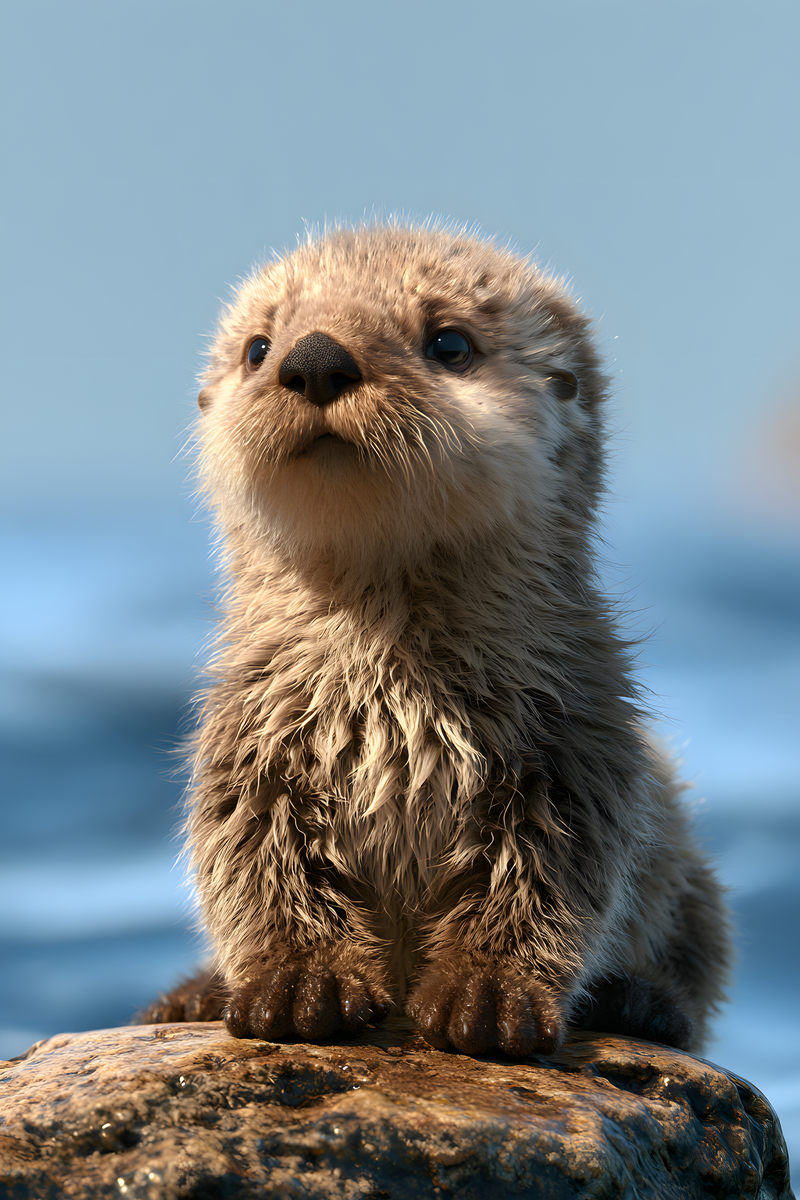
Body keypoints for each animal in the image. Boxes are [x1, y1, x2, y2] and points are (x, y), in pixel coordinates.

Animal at [140, 224, 731, 1058]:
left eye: (449, 342)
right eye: (259, 346)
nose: (313, 358)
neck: (392, 685)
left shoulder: (571, 741)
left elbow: (544, 876)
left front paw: (486, 997)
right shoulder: (252, 738)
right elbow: (259, 864)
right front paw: (298, 985)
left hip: (689, 873)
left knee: (697, 960)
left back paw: (640, 1002)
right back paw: (190, 995)